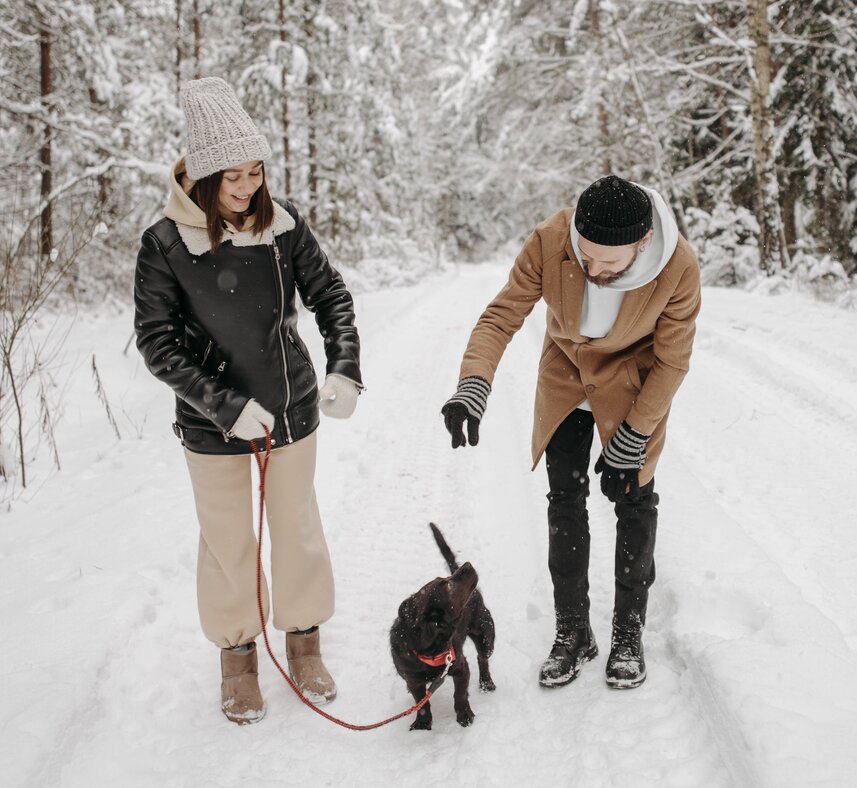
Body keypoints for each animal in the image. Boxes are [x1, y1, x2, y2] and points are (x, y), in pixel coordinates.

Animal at [390, 520, 494, 728]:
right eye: (448, 585)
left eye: (443, 579)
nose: (467, 564)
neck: (428, 652)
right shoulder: (412, 680)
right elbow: (421, 702)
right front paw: (422, 723)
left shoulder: (461, 667)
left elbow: (460, 694)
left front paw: (464, 715)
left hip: (486, 635)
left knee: (482, 658)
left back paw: (486, 683)